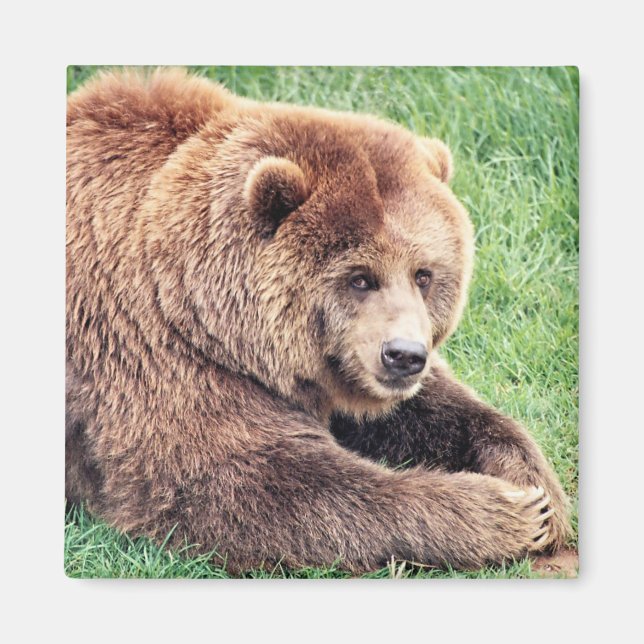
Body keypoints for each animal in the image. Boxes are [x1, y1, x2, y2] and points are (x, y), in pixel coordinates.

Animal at [66, 68, 571, 574]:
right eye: (360, 278)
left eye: (424, 275)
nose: (404, 355)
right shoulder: (149, 349)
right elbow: (246, 482)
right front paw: (504, 511)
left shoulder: (337, 368)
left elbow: (434, 410)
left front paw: (536, 489)